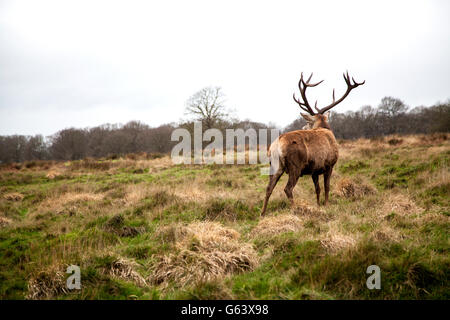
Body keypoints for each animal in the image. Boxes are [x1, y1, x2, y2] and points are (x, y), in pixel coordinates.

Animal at [260, 70, 366, 215]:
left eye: (308, 122)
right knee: (288, 188)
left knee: (268, 188)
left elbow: (317, 189)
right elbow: (326, 187)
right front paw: (326, 205)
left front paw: (318, 205)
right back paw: (294, 209)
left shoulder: (314, 170)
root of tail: (276, 146)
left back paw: (262, 213)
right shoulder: (329, 164)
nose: (304, 127)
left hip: (276, 165)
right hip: (295, 166)